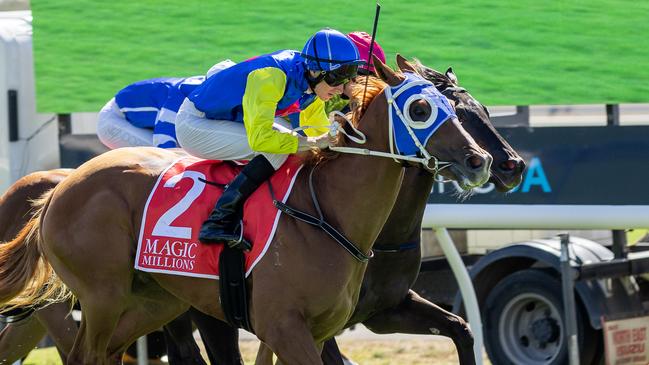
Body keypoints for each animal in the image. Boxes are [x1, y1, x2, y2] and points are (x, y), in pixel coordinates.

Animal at [0, 58, 488, 362]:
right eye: (421, 108)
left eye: (460, 107)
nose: (479, 160)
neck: (326, 213)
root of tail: (60, 188)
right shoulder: (285, 327)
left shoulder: (315, 329)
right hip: (103, 295)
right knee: (86, 353)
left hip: (153, 300)